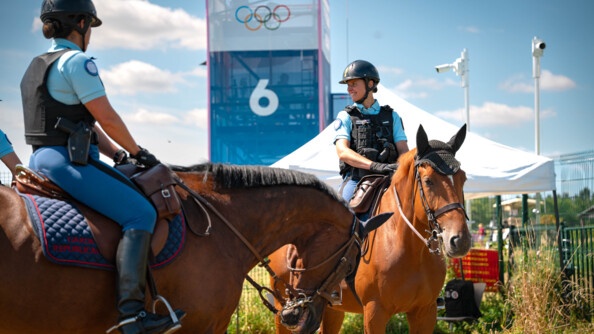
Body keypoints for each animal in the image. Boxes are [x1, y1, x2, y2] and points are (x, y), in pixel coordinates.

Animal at [270, 124, 472, 332]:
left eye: (463, 179)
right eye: (428, 181)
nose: (460, 240)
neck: (411, 248)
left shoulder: (425, 313)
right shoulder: (375, 312)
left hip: (329, 309)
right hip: (285, 309)